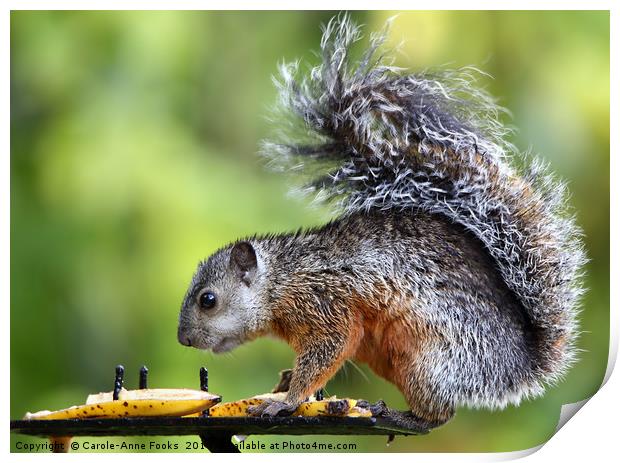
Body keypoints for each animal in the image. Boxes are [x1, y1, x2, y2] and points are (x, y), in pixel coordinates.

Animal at [176, 15, 588, 432]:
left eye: (208, 300)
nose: (183, 339)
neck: (283, 278)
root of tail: (518, 366)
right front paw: (287, 382)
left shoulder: (327, 305)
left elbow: (329, 349)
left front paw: (286, 402)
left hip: (431, 362)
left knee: (437, 417)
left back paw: (395, 416)